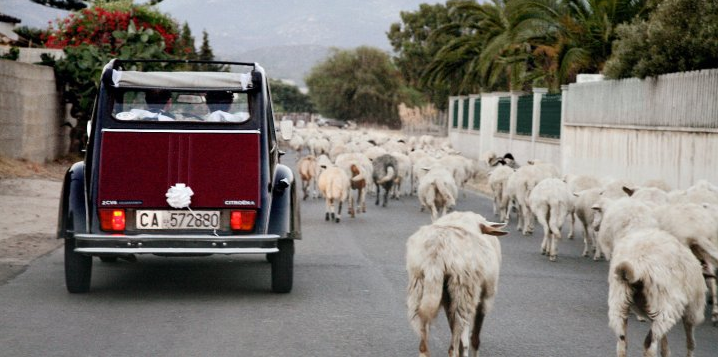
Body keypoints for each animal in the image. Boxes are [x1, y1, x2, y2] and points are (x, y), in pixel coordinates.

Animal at [408, 211, 510, 356]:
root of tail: (436, 254)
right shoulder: (484, 298)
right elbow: (474, 339)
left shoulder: (448, 300)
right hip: (463, 291)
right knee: (454, 346)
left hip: (420, 288)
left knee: (424, 344)